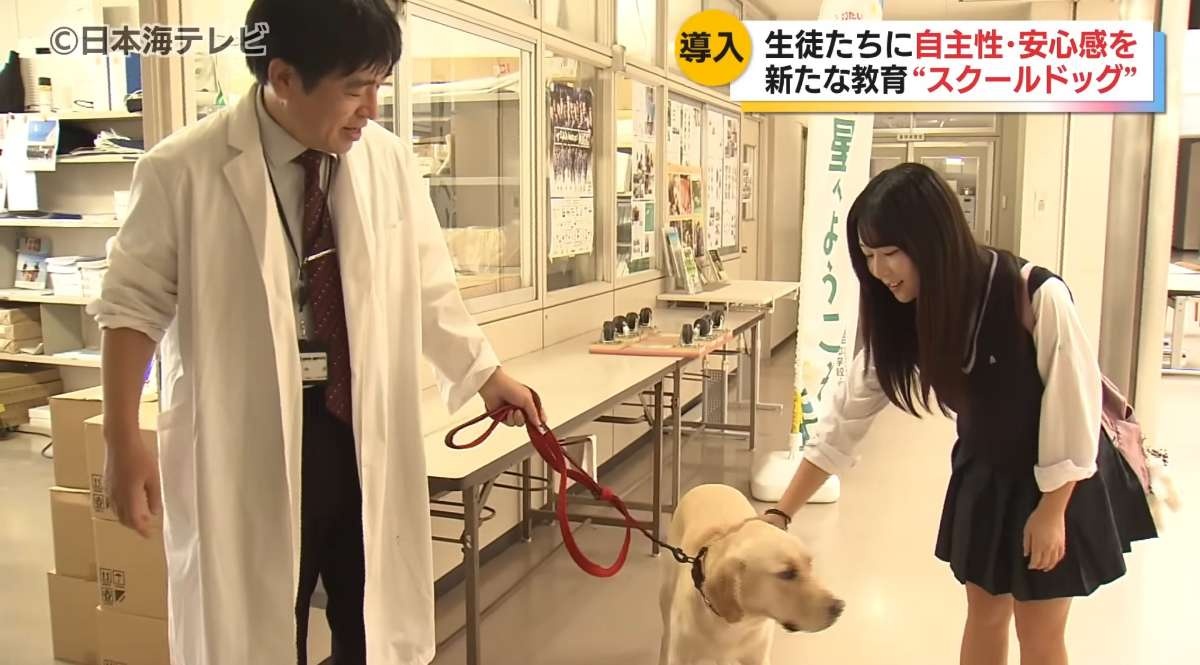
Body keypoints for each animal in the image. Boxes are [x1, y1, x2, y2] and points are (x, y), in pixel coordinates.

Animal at [658, 484, 844, 665]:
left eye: (810, 564)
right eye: (786, 573)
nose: (839, 607)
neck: (738, 624)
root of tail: (710, 484)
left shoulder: (758, 657)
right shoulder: (681, 657)